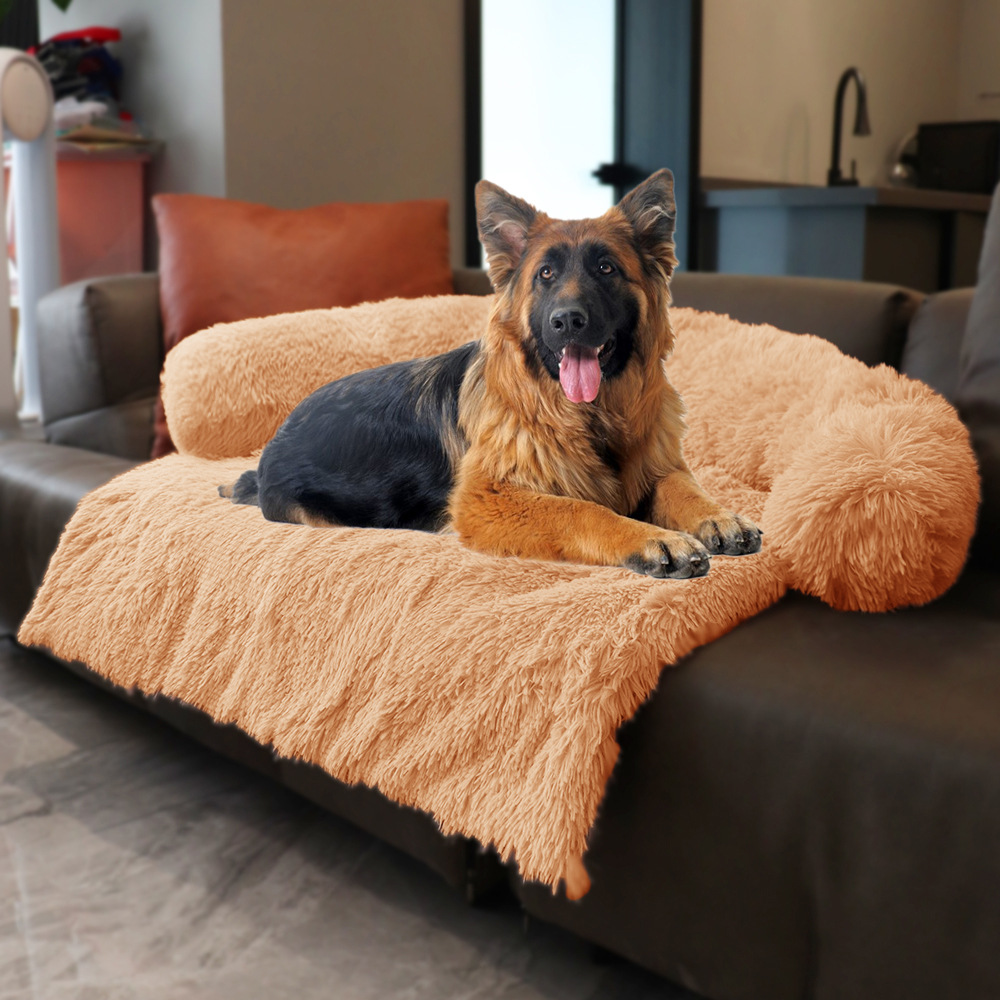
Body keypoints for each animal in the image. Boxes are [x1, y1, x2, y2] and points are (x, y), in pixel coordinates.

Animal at [221, 169, 761, 578]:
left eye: (606, 269)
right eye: (545, 274)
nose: (567, 320)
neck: (591, 417)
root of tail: (270, 447)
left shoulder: (658, 467)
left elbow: (683, 487)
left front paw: (718, 517)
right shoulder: (489, 499)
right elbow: (581, 508)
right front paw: (651, 538)